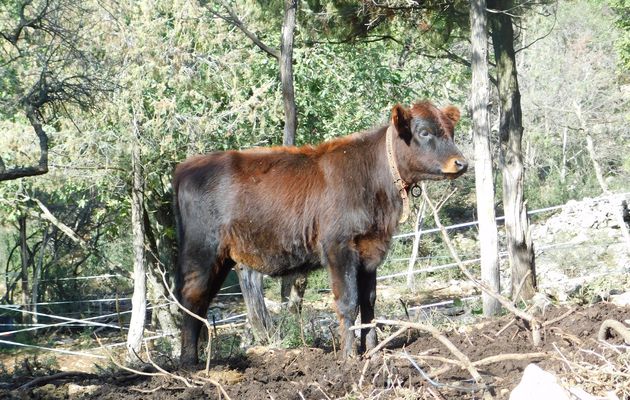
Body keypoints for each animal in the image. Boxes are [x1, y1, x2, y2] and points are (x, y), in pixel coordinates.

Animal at [175, 100, 466, 366]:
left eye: (451, 131)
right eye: (424, 132)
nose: (461, 163)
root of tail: (187, 166)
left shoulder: (371, 250)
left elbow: (369, 302)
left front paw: (372, 352)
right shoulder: (339, 247)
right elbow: (348, 301)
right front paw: (349, 358)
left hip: (220, 258)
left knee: (200, 303)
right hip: (202, 252)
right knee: (192, 300)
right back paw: (189, 364)